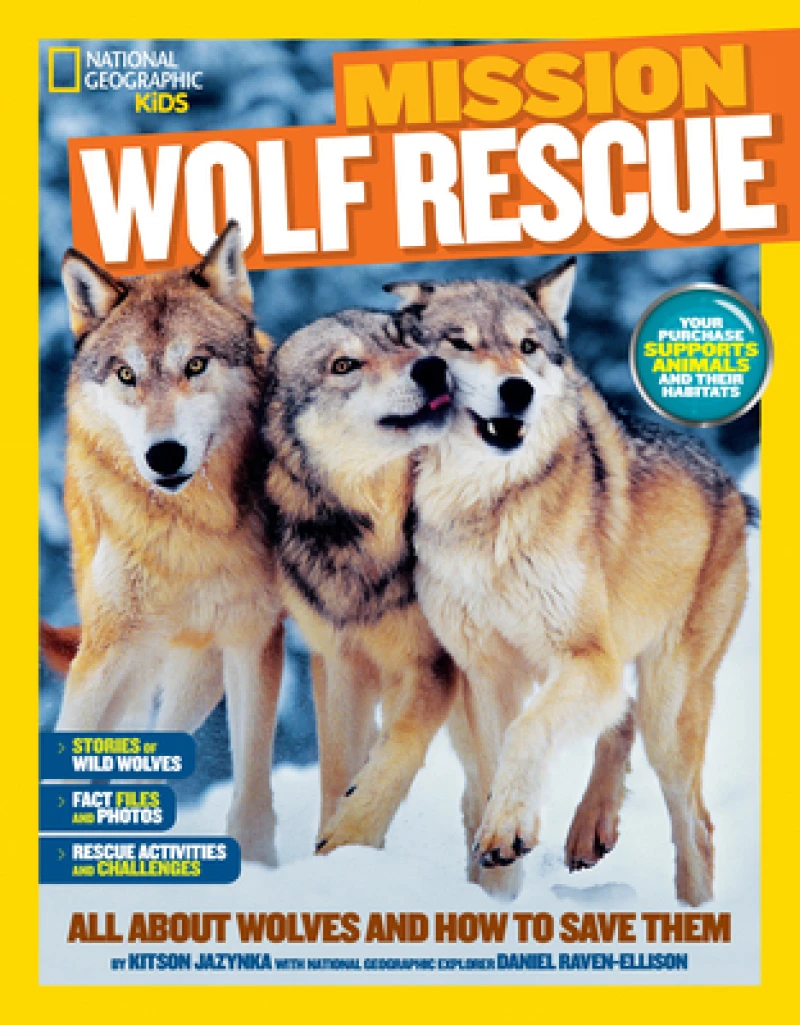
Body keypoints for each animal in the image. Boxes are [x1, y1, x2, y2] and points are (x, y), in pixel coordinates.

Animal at [50, 221, 283, 864]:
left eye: (196, 364)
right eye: (126, 374)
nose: (164, 455)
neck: (192, 533)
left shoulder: (254, 641)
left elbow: (252, 793)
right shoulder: (103, 652)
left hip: (197, 676)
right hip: (131, 659)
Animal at [262, 309, 458, 852]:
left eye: (404, 341)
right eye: (344, 365)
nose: (433, 367)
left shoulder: (431, 664)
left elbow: (400, 746)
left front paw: (350, 836)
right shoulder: (343, 664)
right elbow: (339, 768)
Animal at [387, 261, 754, 904]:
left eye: (528, 347)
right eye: (461, 343)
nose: (518, 390)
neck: (483, 507)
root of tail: (731, 486)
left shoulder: (584, 658)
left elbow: (526, 735)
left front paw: (508, 829)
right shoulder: (487, 675)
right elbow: (494, 765)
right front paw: (497, 896)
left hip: (669, 711)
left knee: (698, 826)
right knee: (619, 716)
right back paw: (591, 829)